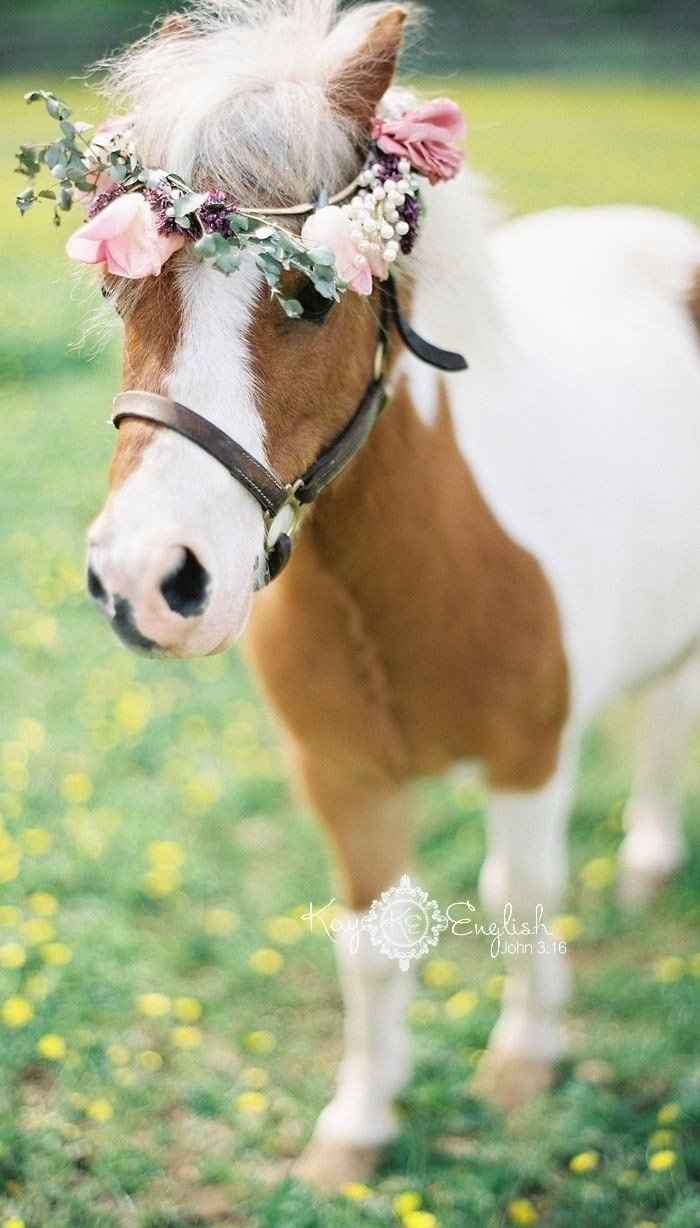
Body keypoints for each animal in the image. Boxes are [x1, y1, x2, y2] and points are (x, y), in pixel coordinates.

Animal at [78, 0, 700, 1191]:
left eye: (313, 296)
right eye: (119, 286)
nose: (147, 580)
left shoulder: (527, 757)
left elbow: (522, 896)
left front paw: (524, 1062)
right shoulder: (345, 777)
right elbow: (371, 947)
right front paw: (356, 1129)